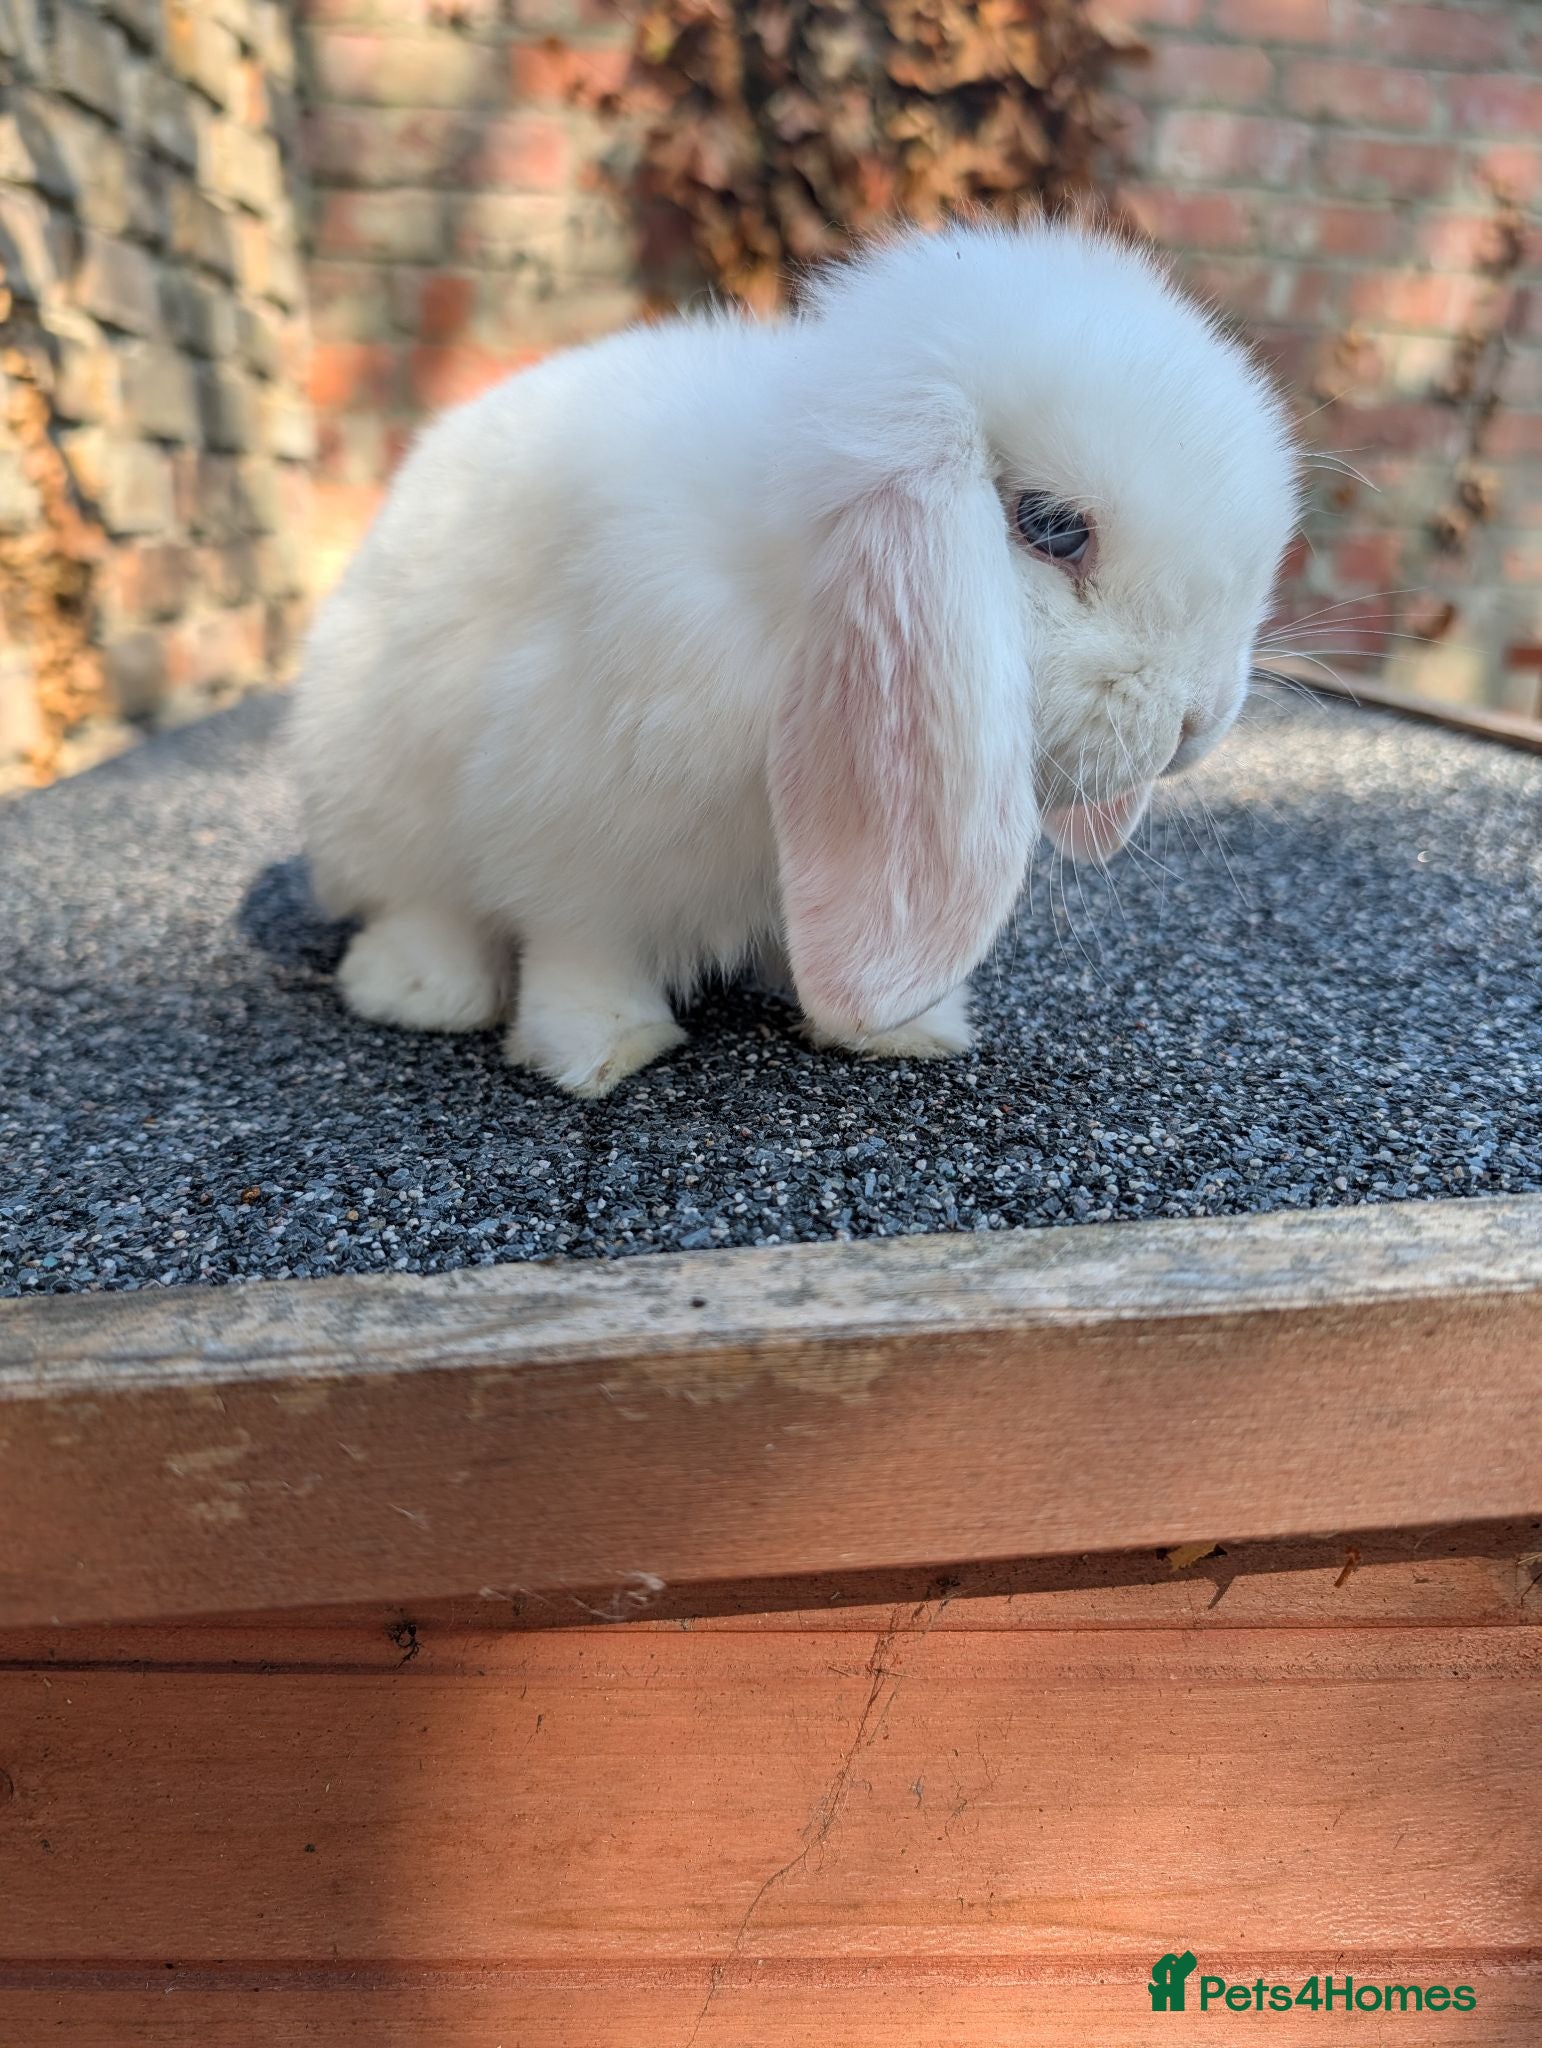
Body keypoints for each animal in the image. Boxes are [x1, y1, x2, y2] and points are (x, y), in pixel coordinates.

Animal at [291, 218, 1299, 1097]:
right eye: (1053, 528)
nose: (1201, 719)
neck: (777, 591)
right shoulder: (567, 823)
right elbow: (584, 948)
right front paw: (606, 1050)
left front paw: (902, 1032)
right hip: (377, 799)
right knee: (419, 903)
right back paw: (424, 990)